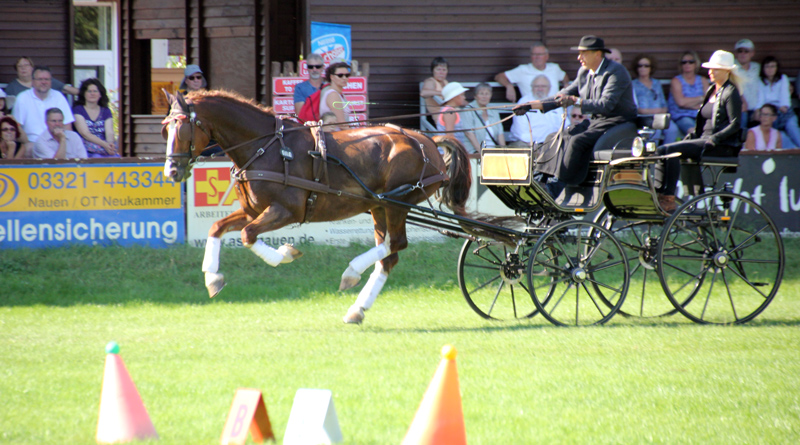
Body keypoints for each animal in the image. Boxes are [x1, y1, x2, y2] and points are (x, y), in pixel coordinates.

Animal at [162, 90, 472, 324]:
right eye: (165, 128)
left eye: (183, 128)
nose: (171, 171)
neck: (268, 148)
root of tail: (426, 140)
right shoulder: (253, 210)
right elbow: (217, 228)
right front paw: (213, 277)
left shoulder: (286, 210)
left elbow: (247, 235)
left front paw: (285, 253)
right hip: (379, 206)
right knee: (389, 256)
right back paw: (357, 309)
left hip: (398, 204)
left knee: (396, 244)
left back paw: (352, 271)